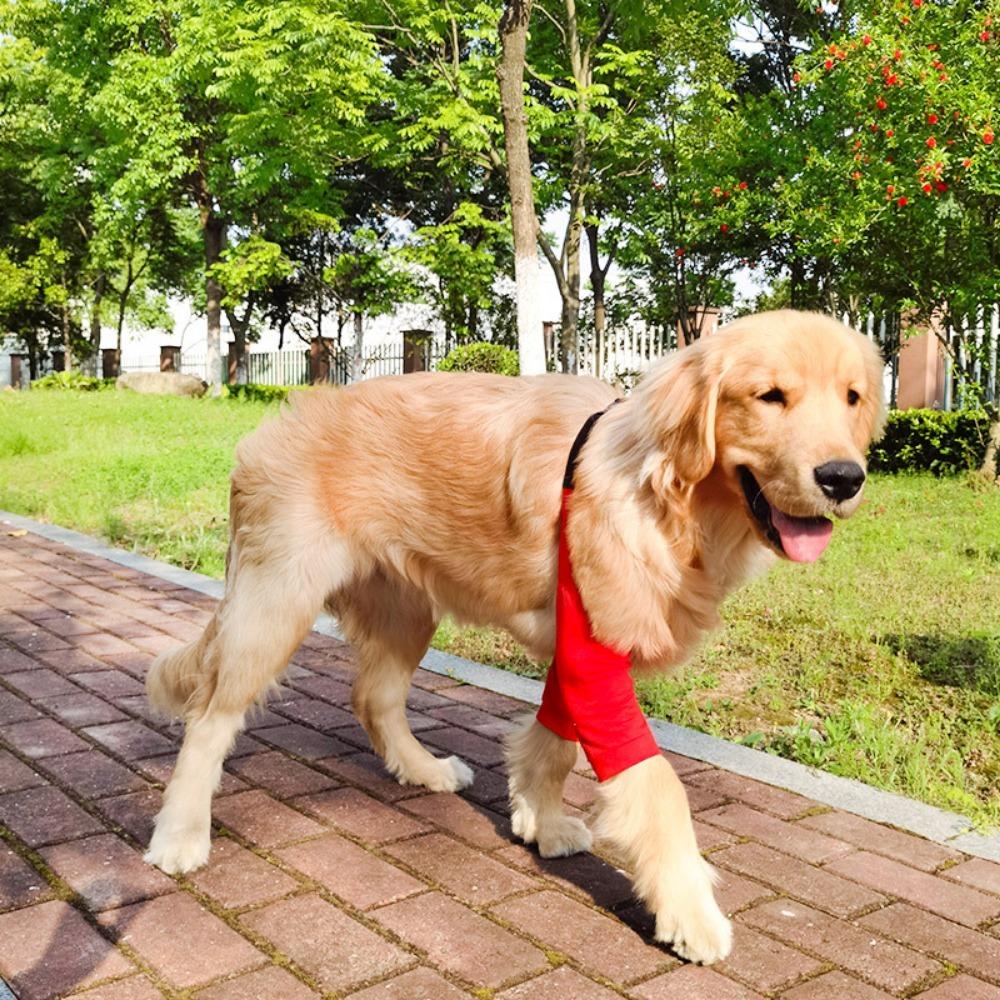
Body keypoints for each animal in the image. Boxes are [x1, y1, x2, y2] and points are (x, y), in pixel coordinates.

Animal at [143, 310, 884, 960]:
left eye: (851, 397)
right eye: (770, 396)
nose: (844, 478)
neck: (668, 497)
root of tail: (270, 427)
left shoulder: (579, 651)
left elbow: (554, 739)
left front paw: (540, 820)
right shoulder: (596, 650)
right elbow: (654, 785)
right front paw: (689, 908)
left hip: (406, 608)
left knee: (374, 697)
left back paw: (422, 769)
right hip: (275, 603)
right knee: (211, 717)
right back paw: (181, 834)